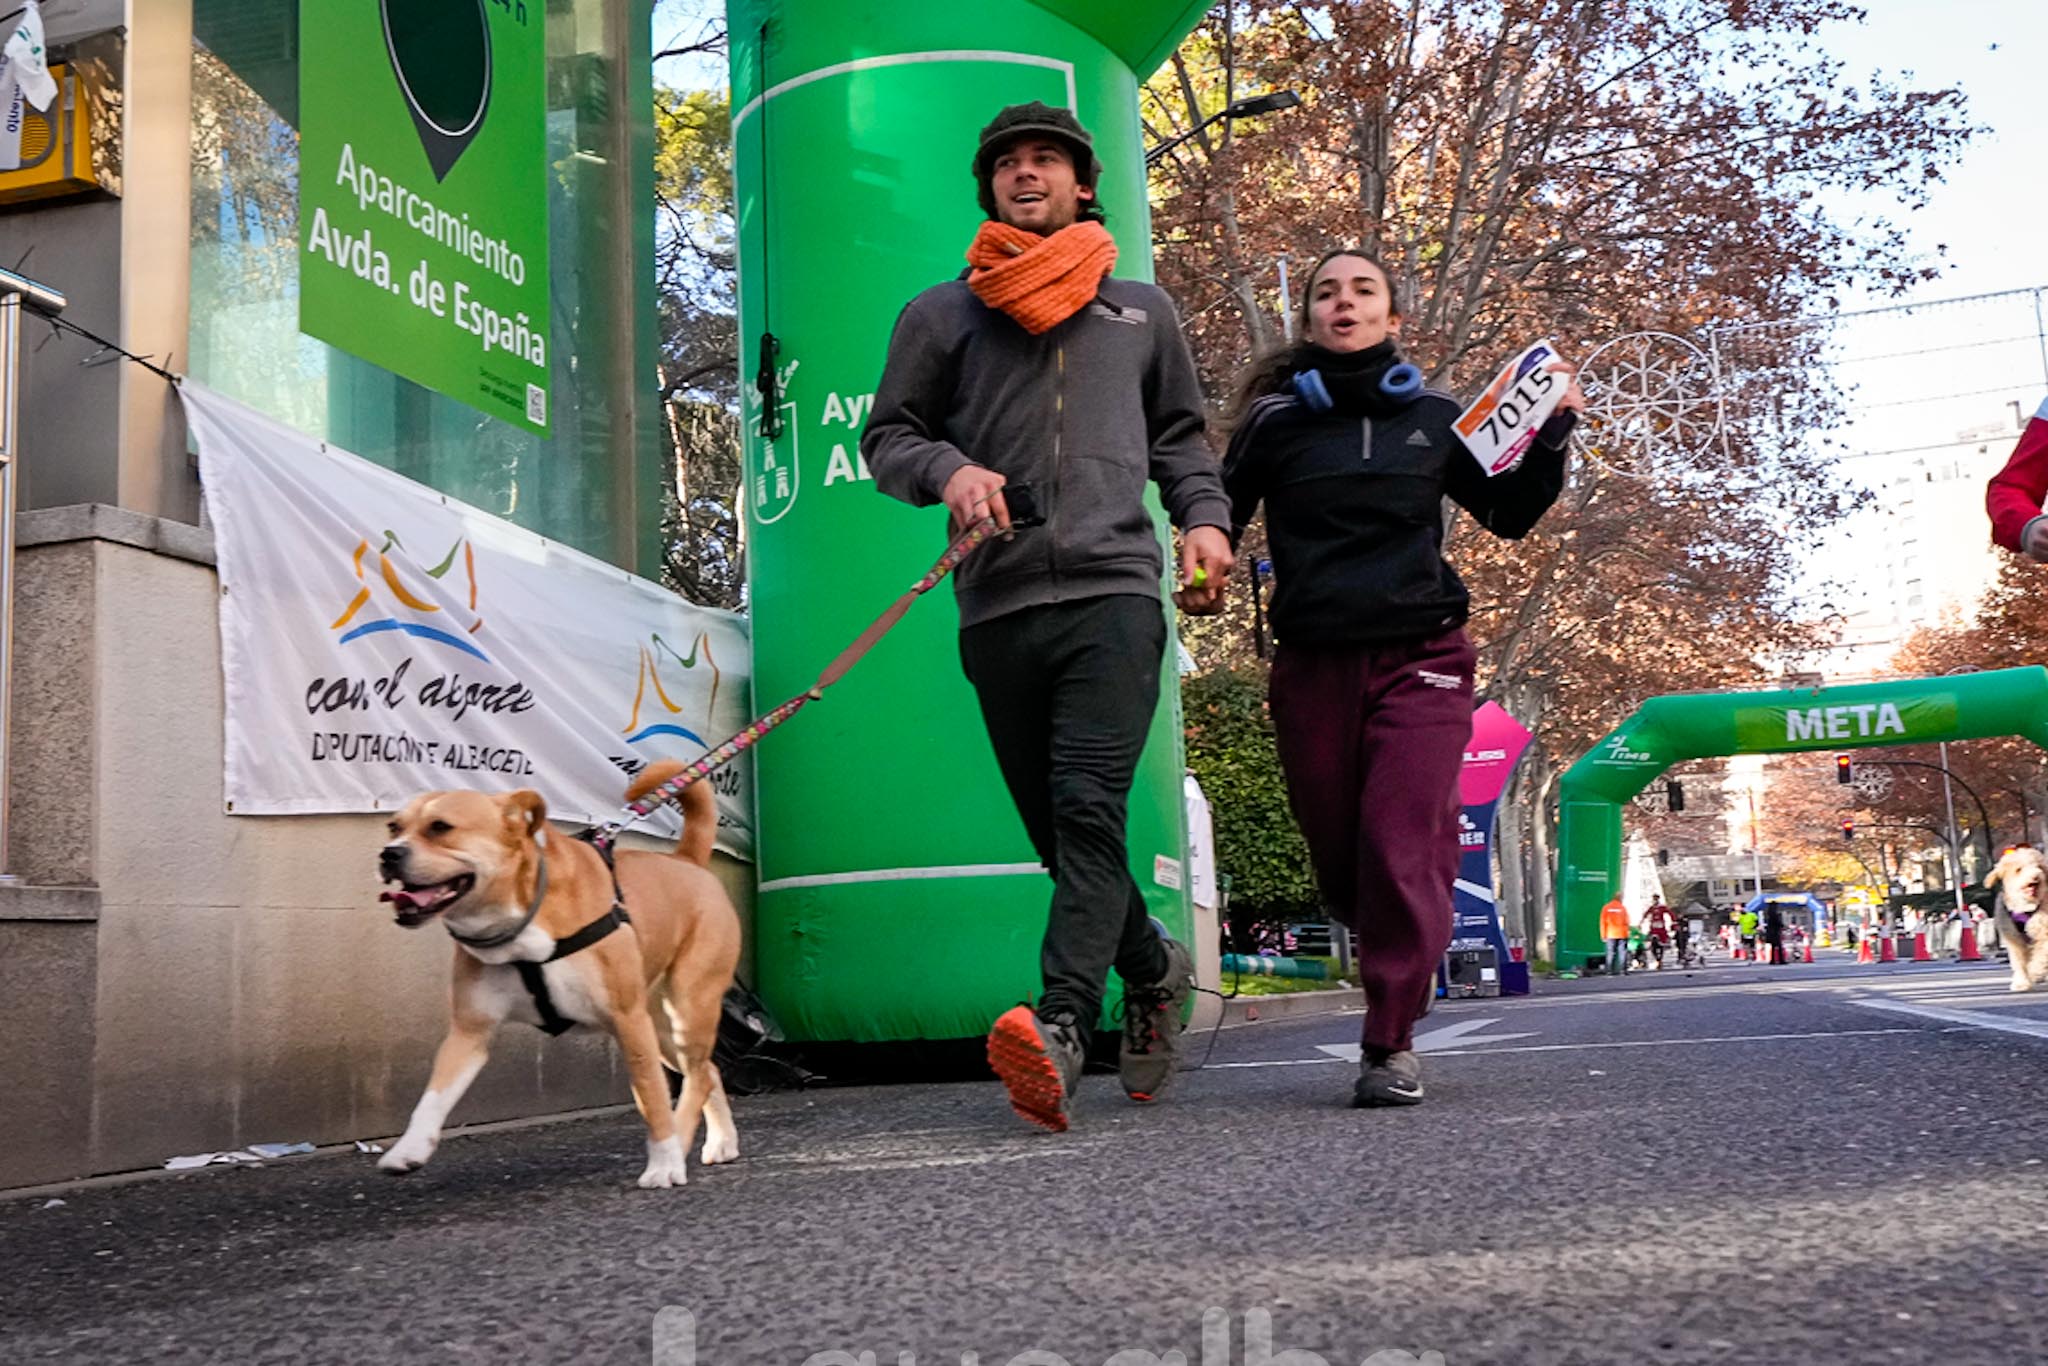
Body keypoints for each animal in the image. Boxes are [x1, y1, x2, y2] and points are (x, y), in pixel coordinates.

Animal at [376, 760, 741, 1187]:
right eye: (394, 827)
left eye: (440, 827)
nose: (389, 854)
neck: (521, 923)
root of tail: (686, 860)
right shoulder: (470, 1031)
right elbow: (433, 1098)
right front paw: (409, 1149)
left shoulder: (628, 1021)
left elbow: (652, 1098)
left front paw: (664, 1161)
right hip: (662, 1032)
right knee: (708, 1070)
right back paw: (722, 1142)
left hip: (687, 1008)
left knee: (697, 1076)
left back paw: (680, 1146)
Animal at [1985, 845, 2048, 993]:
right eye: (2018, 869)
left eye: (2039, 867)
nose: (2036, 877)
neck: (2024, 907)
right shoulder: (2014, 939)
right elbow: (2019, 963)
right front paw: (2021, 982)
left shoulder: (2043, 932)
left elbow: (2041, 955)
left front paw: (2035, 972)